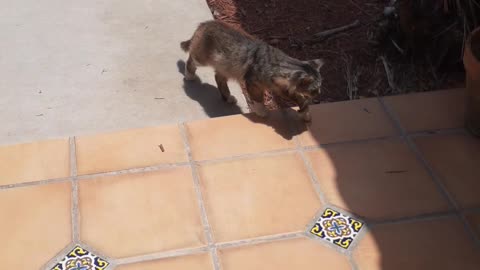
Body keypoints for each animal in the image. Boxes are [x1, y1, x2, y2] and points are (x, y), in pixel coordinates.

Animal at [181, 20, 326, 122]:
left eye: (319, 88)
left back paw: (228, 97)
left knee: (218, 78)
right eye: (314, 89)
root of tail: (206, 23)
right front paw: (261, 111)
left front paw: (305, 113)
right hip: (202, 58)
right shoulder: (253, 83)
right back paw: (189, 75)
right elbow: (258, 99)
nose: (319, 94)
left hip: (225, 67)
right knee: (191, 59)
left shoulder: (282, 89)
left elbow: (301, 100)